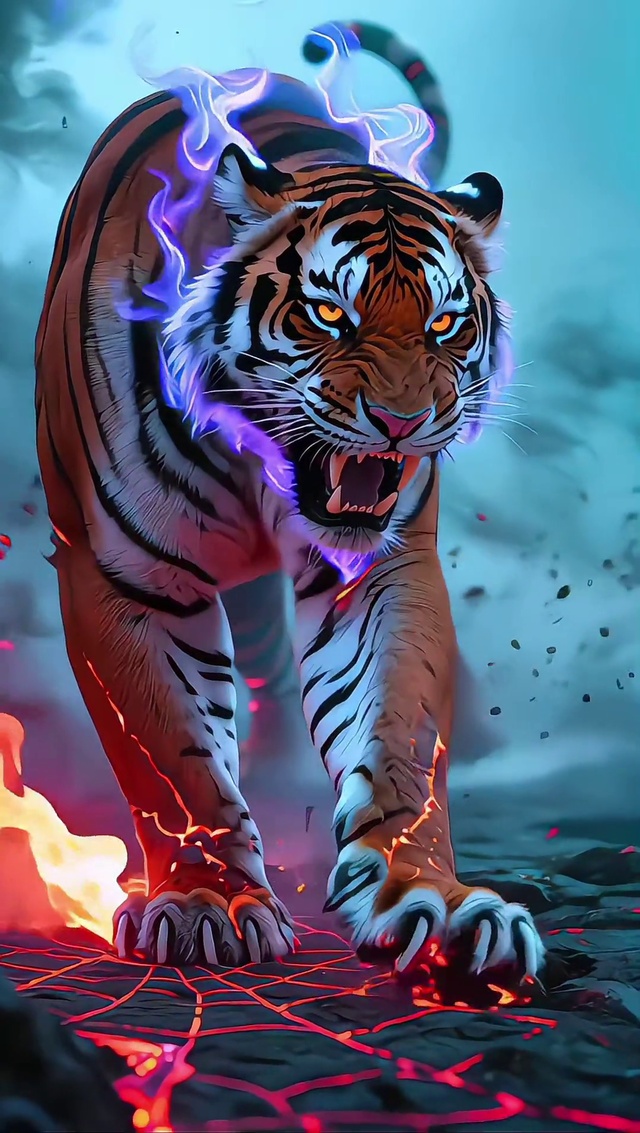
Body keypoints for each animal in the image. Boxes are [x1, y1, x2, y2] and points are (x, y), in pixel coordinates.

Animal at [35, 20, 544, 976]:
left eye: (444, 323)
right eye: (331, 314)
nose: (401, 422)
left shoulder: (380, 571)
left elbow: (397, 736)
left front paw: (434, 898)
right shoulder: (123, 576)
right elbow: (175, 755)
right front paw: (207, 900)